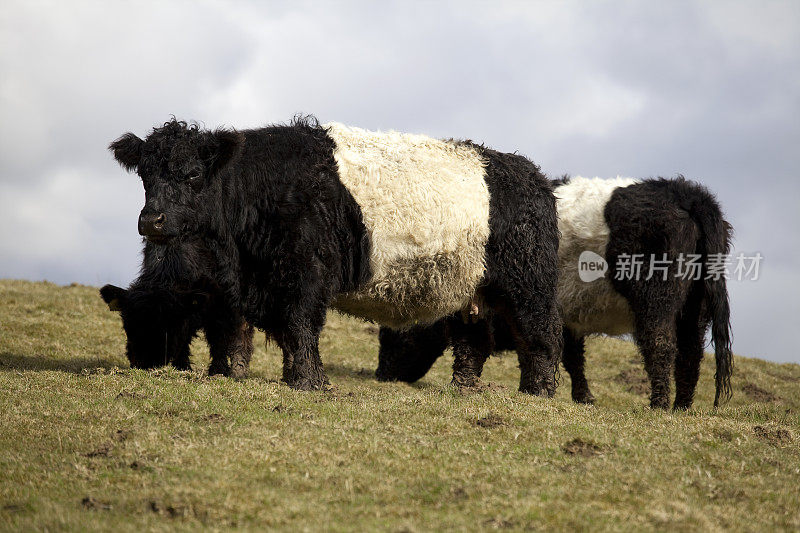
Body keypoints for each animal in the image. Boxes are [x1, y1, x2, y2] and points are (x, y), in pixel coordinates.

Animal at [100, 118, 564, 392]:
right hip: (469, 290)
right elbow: (262, 334)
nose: (151, 220)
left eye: (194, 175)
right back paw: (464, 388)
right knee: (473, 341)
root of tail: (533, 176)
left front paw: (309, 382)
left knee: (541, 331)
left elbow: (299, 325)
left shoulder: (305, 272)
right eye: (145, 175)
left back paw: (538, 390)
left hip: (527, 281)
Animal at [378, 177, 736, 410]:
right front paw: (579, 398)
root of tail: (684, 193)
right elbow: (568, 357)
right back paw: (681, 406)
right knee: (690, 354)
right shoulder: (565, 318)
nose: (382, 375)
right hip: (696, 308)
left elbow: (495, 345)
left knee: (661, 345)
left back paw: (659, 404)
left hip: (655, 300)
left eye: (396, 332)